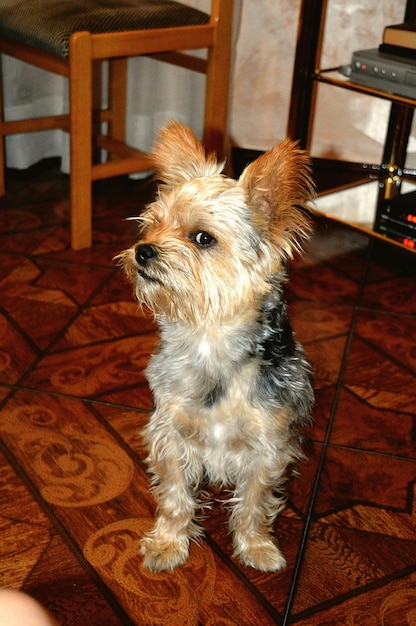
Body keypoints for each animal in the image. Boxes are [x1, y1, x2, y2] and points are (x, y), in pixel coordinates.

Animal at [118, 122, 314, 572]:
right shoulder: (170, 434)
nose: (142, 250)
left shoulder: (268, 449)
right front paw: (168, 543)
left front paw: (257, 546)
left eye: (203, 238)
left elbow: (255, 504)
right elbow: (175, 497)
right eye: (152, 226)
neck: (211, 338)